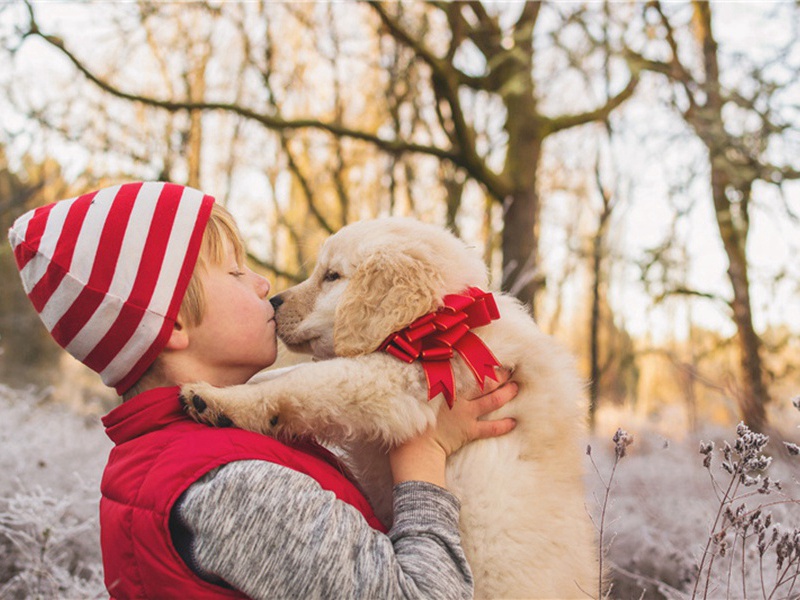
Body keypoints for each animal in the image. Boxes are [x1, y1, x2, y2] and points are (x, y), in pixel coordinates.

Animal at [181, 218, 592, 596]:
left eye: (332, 276)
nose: (271, 302)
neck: (440, 322)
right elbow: (291, 373)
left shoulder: (404, 383)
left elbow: (311, 379)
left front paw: (218, 399)